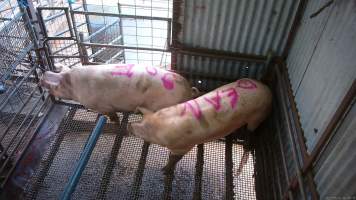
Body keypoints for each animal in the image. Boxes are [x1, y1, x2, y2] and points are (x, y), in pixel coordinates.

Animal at [41, 63, 200, 121]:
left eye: (56, 87)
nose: (42, 78)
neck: (75, 87)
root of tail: (188, 91)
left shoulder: (100, 104)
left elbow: (110, 113)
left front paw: (112, 120)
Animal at [129, 78, 272, 175]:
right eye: (141, 119)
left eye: (144, 132)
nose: (129, 125)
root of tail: (268, 90)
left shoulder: (184, 146)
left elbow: (174, 158)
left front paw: (164, 171)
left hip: (258, 115)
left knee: (251, 132)